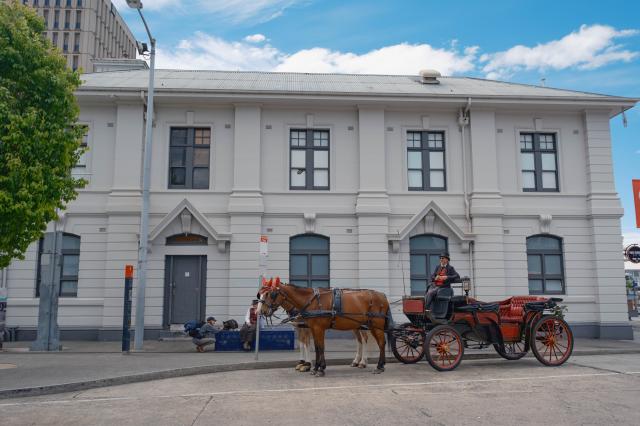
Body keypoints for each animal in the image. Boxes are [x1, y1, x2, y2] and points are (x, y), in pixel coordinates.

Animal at [259, 279, 390, 376]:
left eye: (271, 294)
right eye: (260, 294)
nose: (261, 311)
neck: (310, 301)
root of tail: (383, 296)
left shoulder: (316, 328)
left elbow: (317, 346)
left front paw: (316, 367)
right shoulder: (311, 328)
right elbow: (315, 347)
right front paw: (314, 367)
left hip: (375, 325)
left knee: (379, 343)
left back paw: (377, 365)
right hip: (360, 326)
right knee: (362, 341)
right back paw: (361, 362)